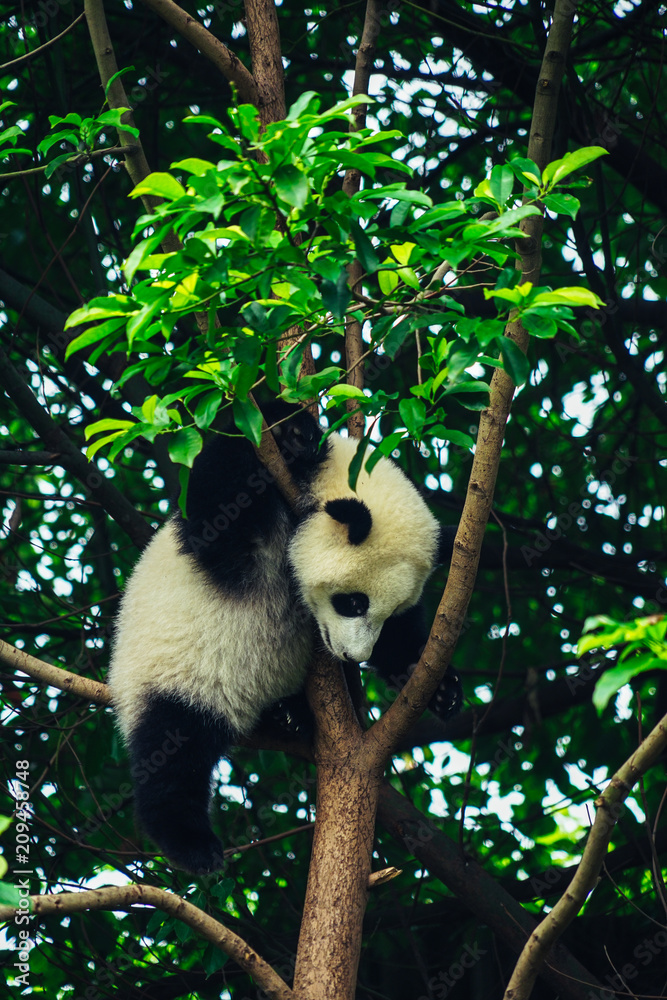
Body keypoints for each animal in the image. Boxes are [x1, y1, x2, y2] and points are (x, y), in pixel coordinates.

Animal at [109, 403, 461, 874]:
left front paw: (442, 690)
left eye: (387, 616)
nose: (352, 654)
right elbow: (214, 511)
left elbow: (402, 643)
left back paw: (290, 716)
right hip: (169, 672)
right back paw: (192, 843)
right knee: (173, 747)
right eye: (353, 603)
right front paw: (290, 430)